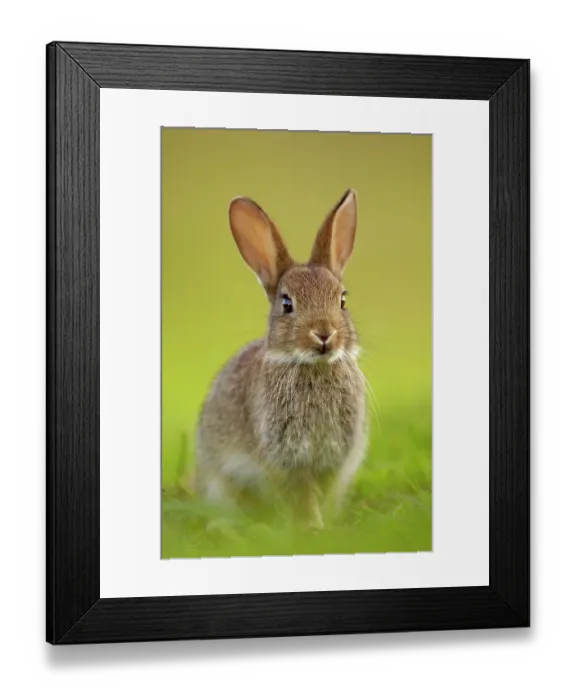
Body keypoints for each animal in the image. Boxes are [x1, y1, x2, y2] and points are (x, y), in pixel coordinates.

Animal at [193, 189, 368, 530]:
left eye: (342, 300)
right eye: (287, 304)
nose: (324, 334)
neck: (315, 368)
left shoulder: (334, 459)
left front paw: (323, 527)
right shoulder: (284, 460)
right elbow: (301, 496)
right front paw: (310, 527)